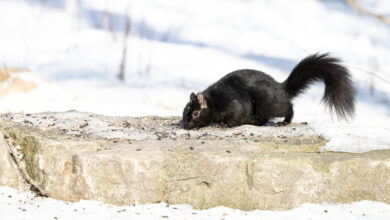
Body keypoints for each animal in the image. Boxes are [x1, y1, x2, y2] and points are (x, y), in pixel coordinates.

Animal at [181, 52, 354, 129]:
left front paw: (223, 124)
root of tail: (281, 88)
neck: (214, 101)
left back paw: (284, 122)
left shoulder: (232, 103)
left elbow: (235, 115)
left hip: (270, 103)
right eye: (184, 112)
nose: (186, 126)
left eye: (196, 113)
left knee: (288, 108)